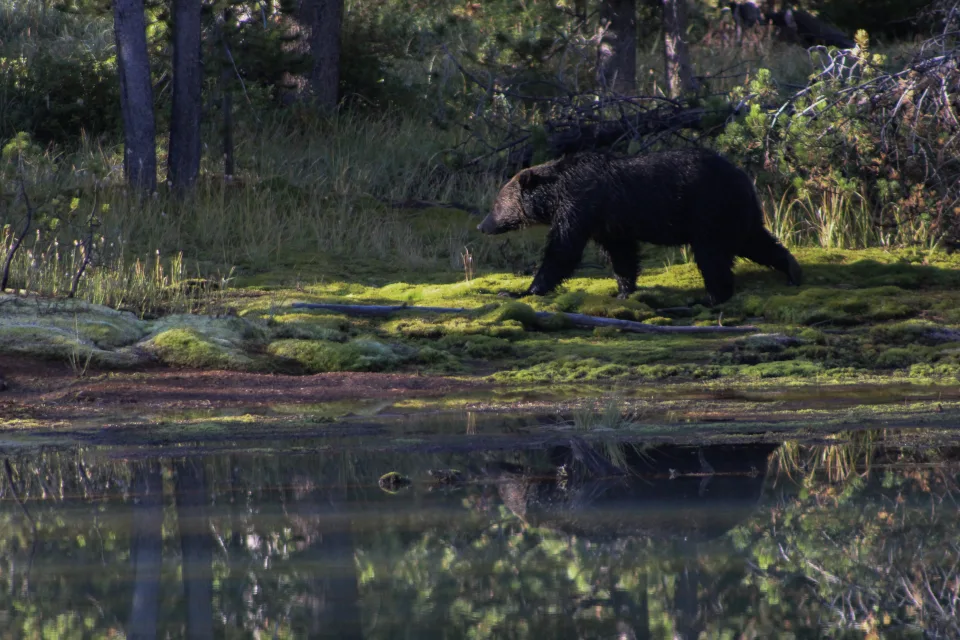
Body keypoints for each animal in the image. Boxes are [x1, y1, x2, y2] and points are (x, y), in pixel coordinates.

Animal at [476, 148, 802, 304]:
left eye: (496, 204)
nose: (482, 225)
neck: (555, 194)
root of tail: (745, 178)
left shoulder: (581, 205)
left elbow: (563, 250)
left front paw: (524, 290)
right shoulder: (608, 222)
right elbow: (622, 254)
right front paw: (622, 290)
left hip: (707, 209)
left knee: (711, 255)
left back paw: (710, 296)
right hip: (736, 213)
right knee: (757, 241)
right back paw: (791, 270)